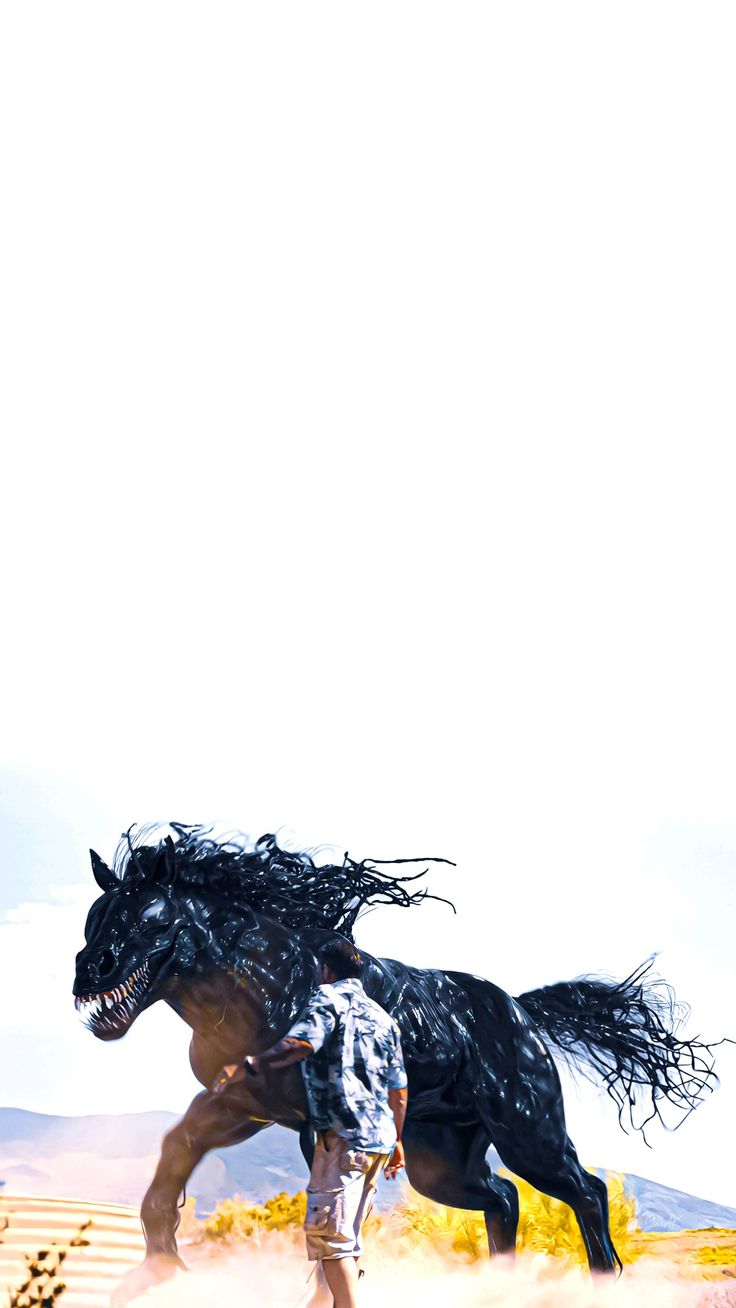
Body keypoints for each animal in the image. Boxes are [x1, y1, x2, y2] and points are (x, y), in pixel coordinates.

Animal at [72, 825, 720, 1301]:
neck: (263, 979)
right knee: (504, 1198)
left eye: (147, 914)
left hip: (529, 1134)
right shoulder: (247, 1106)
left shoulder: (289, 1114)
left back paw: (605, 1285)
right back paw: (499, 1288)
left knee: (585, 1190)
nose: (87, 970)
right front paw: (157, 1266)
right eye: (96, 914)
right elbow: (177, 1151)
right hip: (442, 1164)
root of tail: (522, 1013)